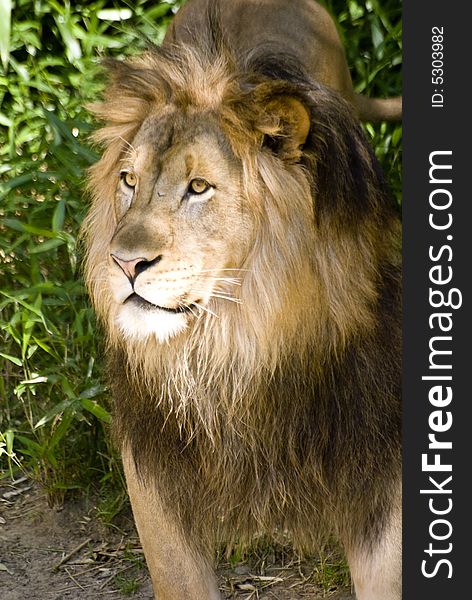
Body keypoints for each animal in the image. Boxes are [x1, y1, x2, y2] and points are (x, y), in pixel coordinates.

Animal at [83, 1, 400, 600]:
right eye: (129, 180)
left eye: (199, 188)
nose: (123, 263)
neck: (236, 346)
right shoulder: (154, 471)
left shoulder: (376, 472)